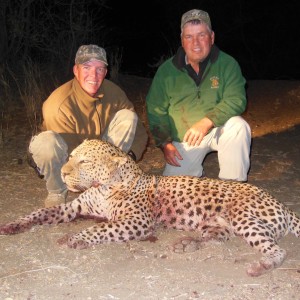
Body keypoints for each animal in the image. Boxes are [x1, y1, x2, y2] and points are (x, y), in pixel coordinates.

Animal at [0, 139, 298, 276]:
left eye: (84, 161)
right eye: (71, 157)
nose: (62, 173)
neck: (104, 186)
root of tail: (282, 204)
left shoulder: (136, 222)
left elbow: (101, 229)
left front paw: (75, 238)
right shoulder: (72, 208)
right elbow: (39, 213)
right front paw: (14, 224)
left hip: (243, 217)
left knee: (278, 250)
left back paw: (262, 266)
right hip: (219, 224)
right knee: (217, 237)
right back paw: (186, 244)